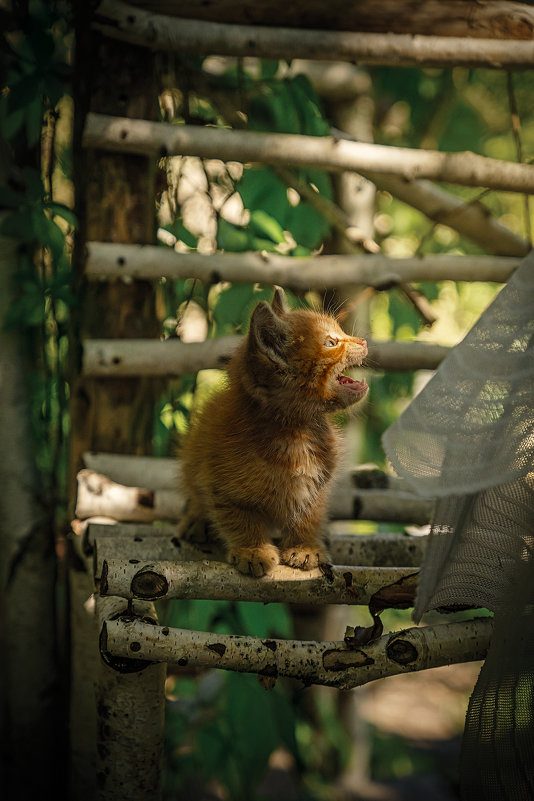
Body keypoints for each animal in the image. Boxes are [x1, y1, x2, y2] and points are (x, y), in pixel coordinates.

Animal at [179, 288, 368, 576]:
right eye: (331, 342)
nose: (364, 341)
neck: (294, 432)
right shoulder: (222, 487)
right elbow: (240, 520)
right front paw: (252, 550)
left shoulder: (316, 487)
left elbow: (308, 517)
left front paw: (304, 547)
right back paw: (195, 521)